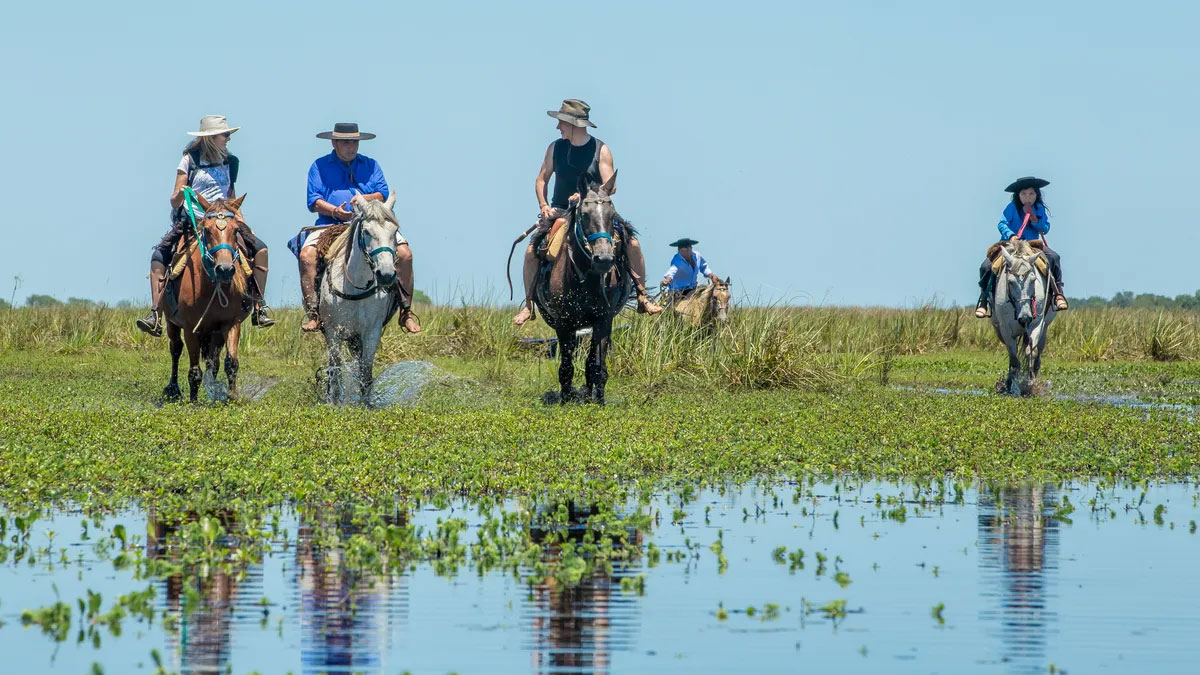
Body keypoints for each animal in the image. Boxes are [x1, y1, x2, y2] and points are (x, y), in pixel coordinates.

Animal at [163, 189, 252, 398]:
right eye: (208, 231)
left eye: (236, 231)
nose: (225, 270)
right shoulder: (190, 328)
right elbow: (194, 370)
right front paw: (194, 400)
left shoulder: (231, 323)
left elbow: (231, 363)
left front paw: (231, 396)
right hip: (171, 322)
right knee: (175, 349)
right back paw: (173, 389)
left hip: (215, 332)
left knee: (214, 362)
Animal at [319, 194, 403, 403]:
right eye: (366, 232)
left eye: (395, 231)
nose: (386, 275)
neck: (355, 287)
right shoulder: (333, 331)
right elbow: (336, 369)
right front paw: (334, 401)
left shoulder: (372, 332)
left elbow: (366, 371)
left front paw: (365, 404)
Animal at [532, 170, 633, 401]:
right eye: (585, 215)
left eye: (612, 215)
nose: (604, 259)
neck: (586, 278)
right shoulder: (563, 323)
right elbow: (566, 364)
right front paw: (566, 396)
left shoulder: (603, 319)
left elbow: (597, 364)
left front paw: (597, 397)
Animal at [988, 239, 1056, 393]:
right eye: (1010, 282)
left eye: (1033, 280)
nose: (1025, 318)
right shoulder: (1005, 329)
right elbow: (1014, 359)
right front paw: (1013, 387)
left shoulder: (1037, 324)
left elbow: (1031, 352)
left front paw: (1030, 384)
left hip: (1044, 327)